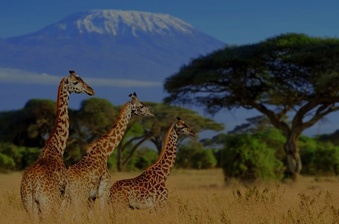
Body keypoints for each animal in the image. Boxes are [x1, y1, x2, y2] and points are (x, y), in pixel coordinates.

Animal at [19, 71, 95, 221]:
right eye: (76, 82)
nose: (91, 90)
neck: (56, 148)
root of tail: (32, 184)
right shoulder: (64, 195)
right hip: (48, 203)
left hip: (29, 205)